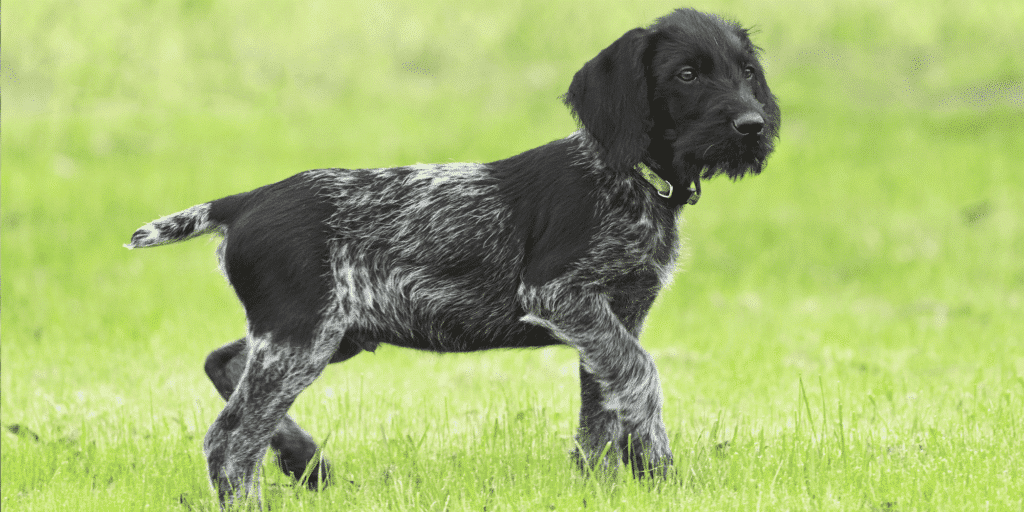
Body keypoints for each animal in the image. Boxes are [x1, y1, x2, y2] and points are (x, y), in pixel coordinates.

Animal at [125, 7, 774, 503]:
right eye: (686, 74)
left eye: (746, 72)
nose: (753, 125)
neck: (631, 176)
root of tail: (247, 200)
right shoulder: (561, 296)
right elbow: (639, 377)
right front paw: (663, 475)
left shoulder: (616, 317)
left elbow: (602, 414)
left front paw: (605, 487)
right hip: (301, 336)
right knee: (230, 439)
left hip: (324, 333)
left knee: (224, 366)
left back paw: (307, 461)